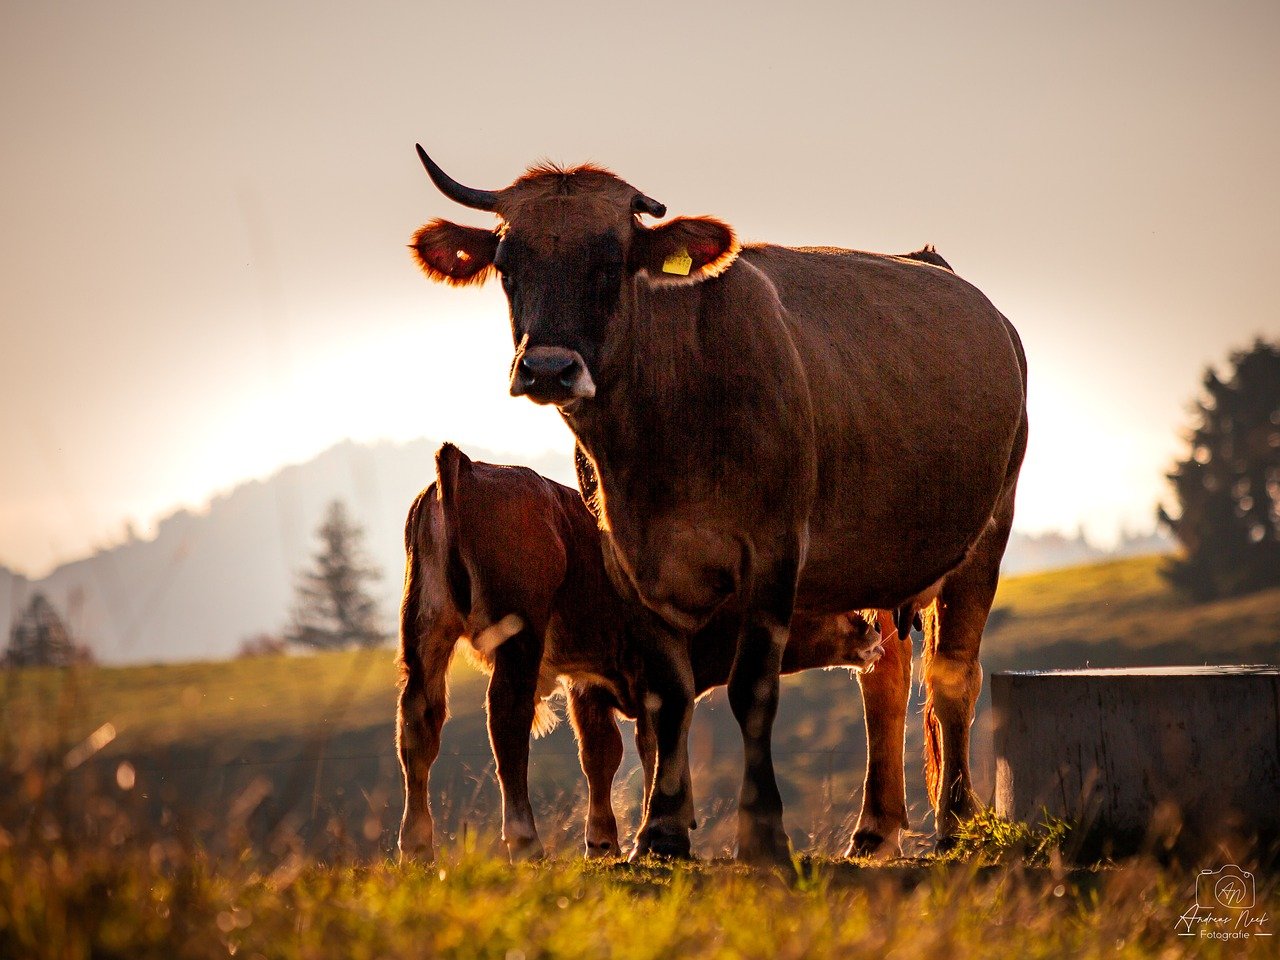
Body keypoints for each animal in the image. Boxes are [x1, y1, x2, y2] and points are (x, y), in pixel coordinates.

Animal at [397, 442, 893, 862]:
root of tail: (466, 466)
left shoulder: (591, 682)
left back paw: (417, 847)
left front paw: (604, 842)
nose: (874, 632)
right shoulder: (651, 677)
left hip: (425, 632)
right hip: (518, 638)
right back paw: (525, 841)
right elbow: (656, 742)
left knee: (420, 722)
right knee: (508, 720)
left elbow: (607, 754)